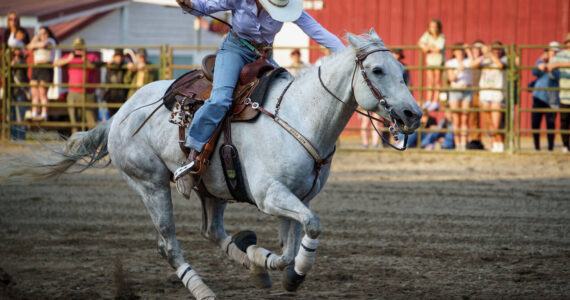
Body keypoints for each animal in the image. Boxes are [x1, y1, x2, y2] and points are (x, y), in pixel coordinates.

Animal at [5, 29, 422, 298]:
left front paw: (266, 264)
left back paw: (248, 257)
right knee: (168, 245)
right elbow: (312, 228)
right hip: (151, 184)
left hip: (213, 188)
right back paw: (203, 289)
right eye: (378, 71)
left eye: (402, 70)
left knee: (212, 231)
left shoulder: (294, 198)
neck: (299, 115)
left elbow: (290, 246)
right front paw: (297, 274)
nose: (412, 114)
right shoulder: (271, 195)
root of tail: (119, 113)